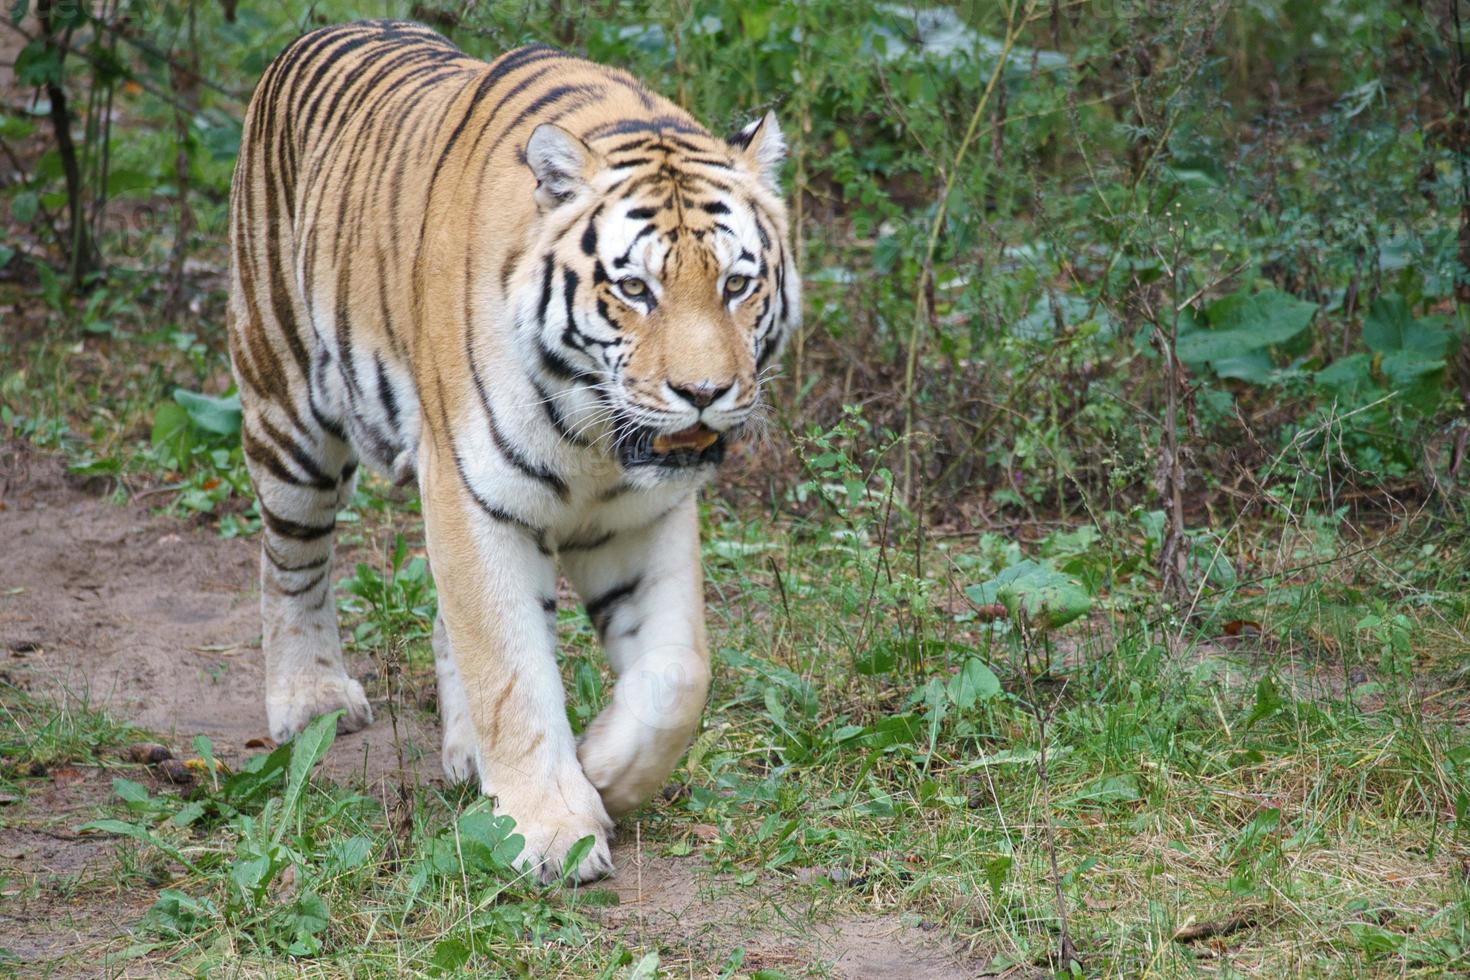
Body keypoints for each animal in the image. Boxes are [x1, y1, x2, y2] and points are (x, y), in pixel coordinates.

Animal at [226, 19, 805, 887]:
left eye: (737, 285)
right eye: (635, 290)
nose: (703, 391)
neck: (597, 433)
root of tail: (329, 27)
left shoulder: (644, 516)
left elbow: (677, 674)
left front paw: (602, 770)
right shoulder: (474, 495)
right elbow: (510, 669)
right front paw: (552, 830)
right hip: (288, 413)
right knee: (291, 562)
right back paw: (312, 698)